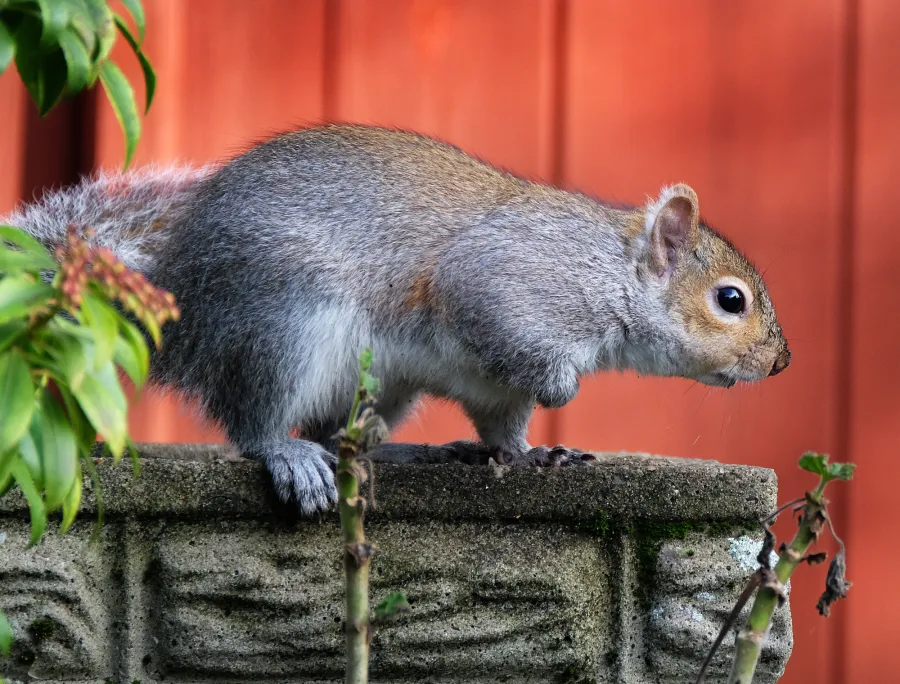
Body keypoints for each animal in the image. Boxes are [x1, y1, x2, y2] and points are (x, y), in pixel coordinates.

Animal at [3, 124, 791, 515]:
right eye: (731, 300)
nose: (781, 363)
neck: (610, 270)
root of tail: (187, 300)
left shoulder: (492, 388)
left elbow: (503, 422)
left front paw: (530, 454)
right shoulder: (506, 286)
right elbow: (503, 330)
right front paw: (563, 389)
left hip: (382, 384)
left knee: (341, 431)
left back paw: (412, 453)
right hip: (283, 322)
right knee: (255, 419)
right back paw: (287, 454)